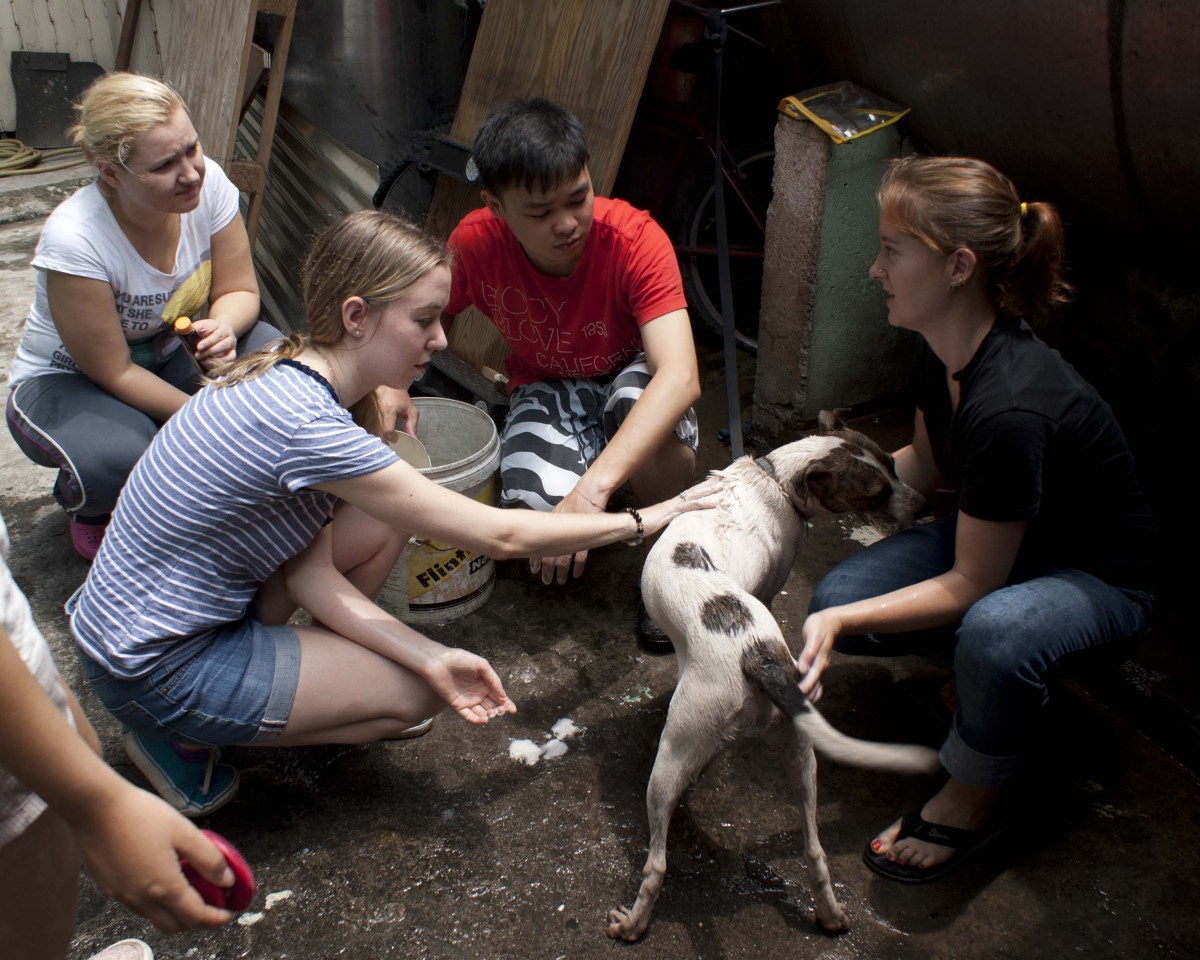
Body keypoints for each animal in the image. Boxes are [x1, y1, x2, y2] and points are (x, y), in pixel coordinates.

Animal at [609, 408, 936, 940]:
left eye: (894, 464)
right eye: (876, 488)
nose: (927, 505)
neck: (776, 478)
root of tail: (757, 652)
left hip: (670, 762)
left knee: (657, 862)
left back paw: (633, 923)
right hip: (802, 755)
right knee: (814, 850)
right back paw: (830, 914)